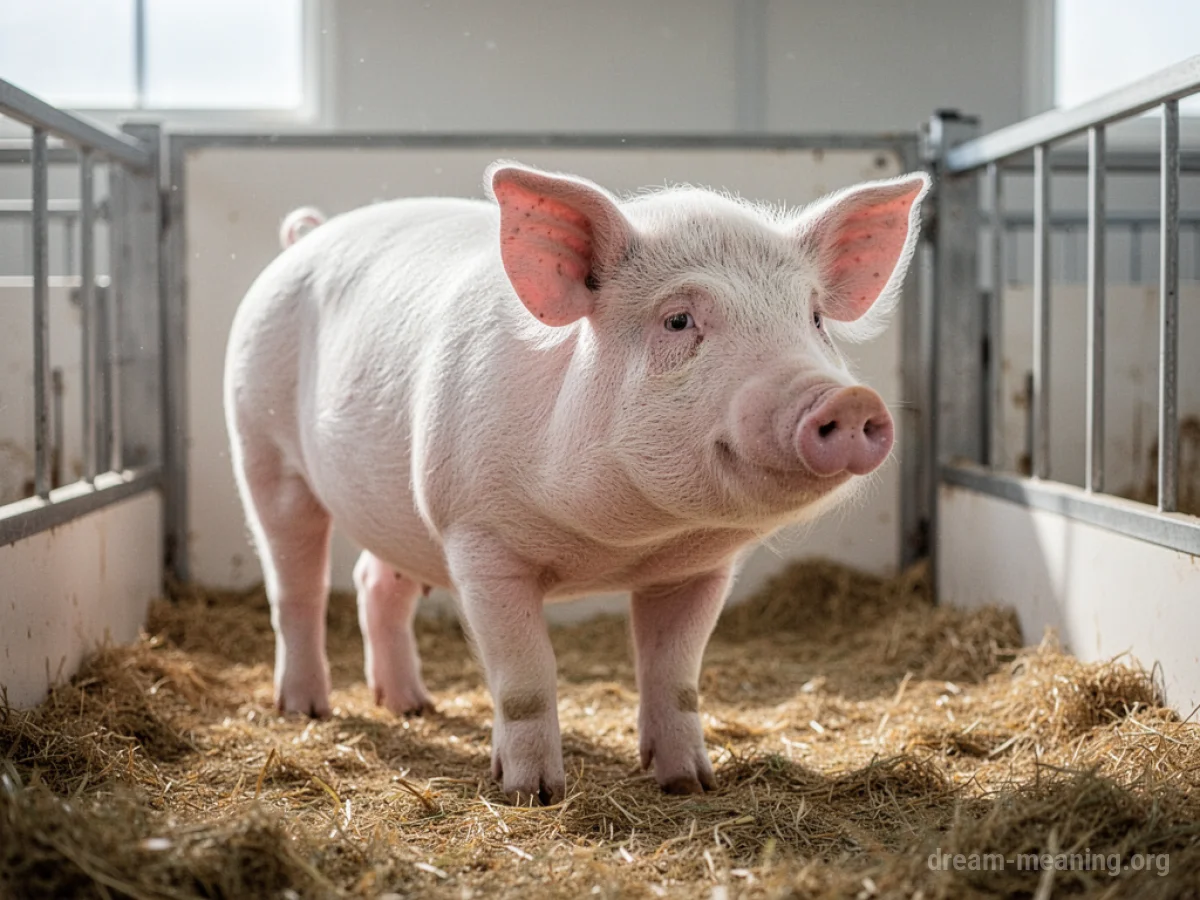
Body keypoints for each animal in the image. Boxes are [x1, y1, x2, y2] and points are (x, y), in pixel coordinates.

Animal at [224, 160, 929, 805]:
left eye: (813, 318)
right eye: (678, 321)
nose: (849, 399)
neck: (623, 541)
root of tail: (306, 236)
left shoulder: (699, 569)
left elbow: (676, 673)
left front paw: (690, 784)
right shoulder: (477, 537)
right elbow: (526, 675)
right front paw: (533, 794)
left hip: (399, 509)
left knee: (376, 580)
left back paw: (412, 706)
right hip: (260, 444)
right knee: (297, 584)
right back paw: (306, 709)